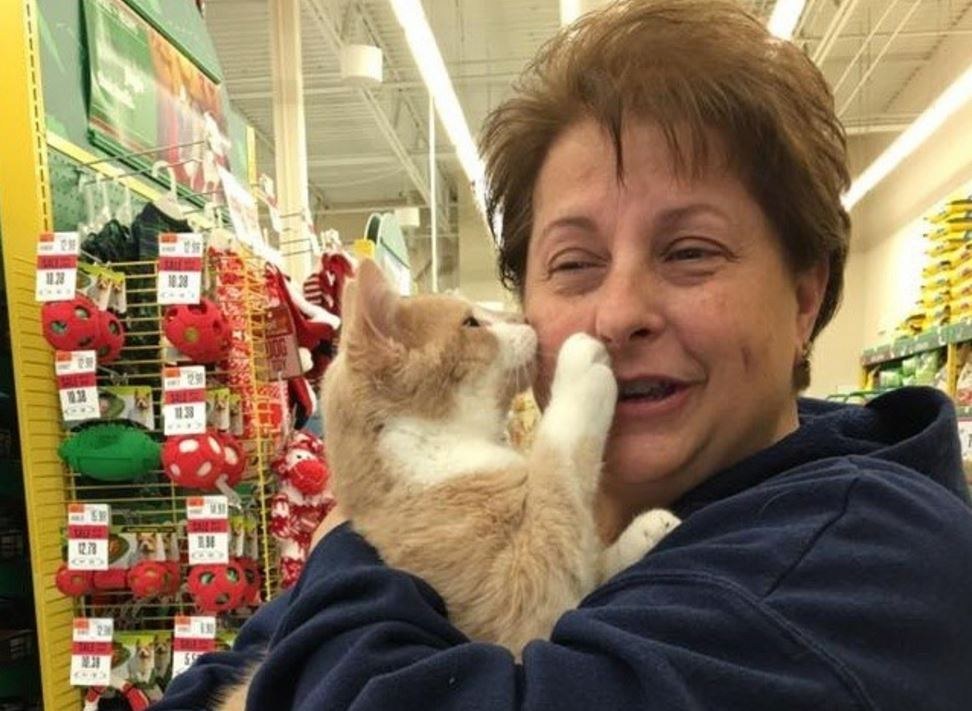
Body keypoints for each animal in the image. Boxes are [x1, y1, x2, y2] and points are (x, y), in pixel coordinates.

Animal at [215, 262, 676, 711]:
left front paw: (647, 529)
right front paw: (583, 367)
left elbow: (587, 554)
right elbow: (557, 475)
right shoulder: (521, 604)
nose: (523, 319)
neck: (438, 452)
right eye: (472, 323)